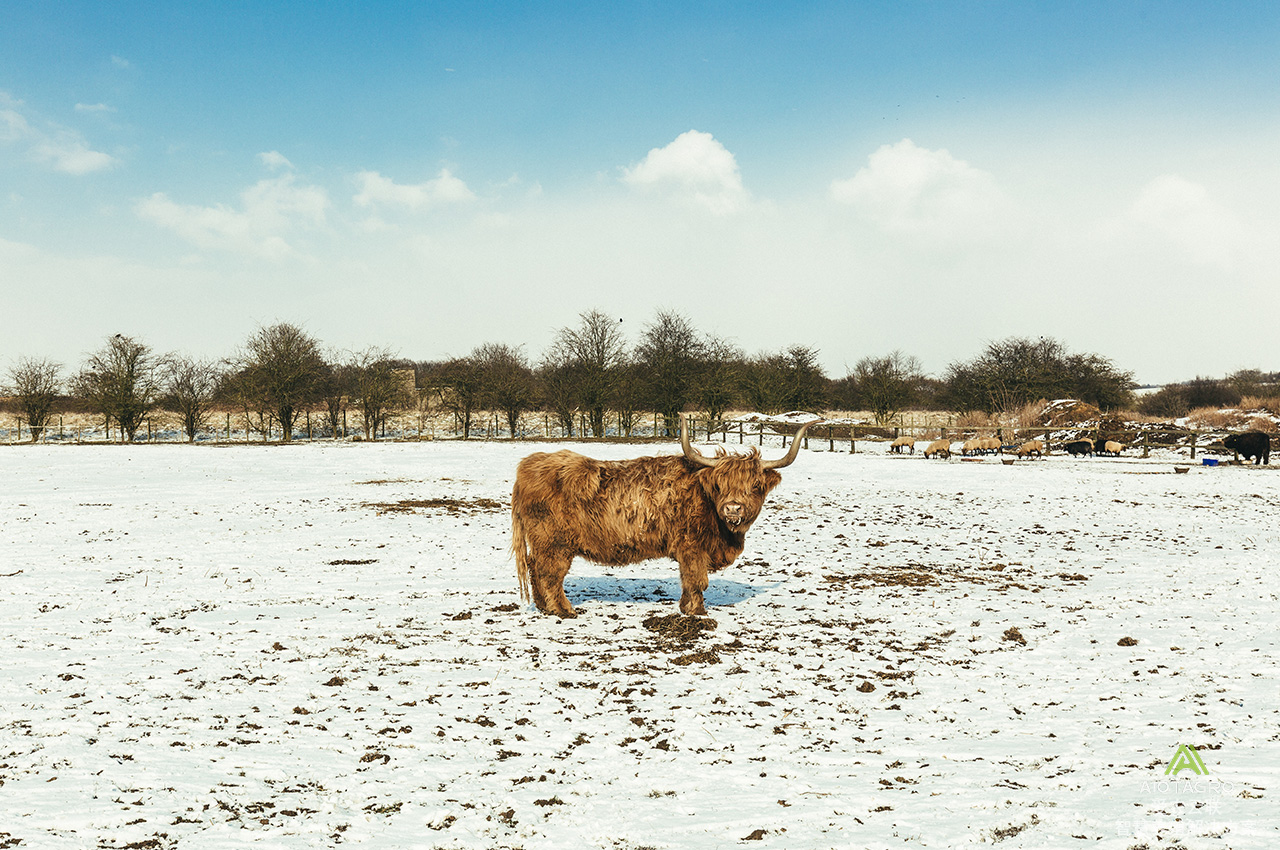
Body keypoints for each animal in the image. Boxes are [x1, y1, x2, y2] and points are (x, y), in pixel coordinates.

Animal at [506, 417, 814, 617]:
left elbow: (689, 580)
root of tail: (528, 465)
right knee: (549, 573)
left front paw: (686, 607)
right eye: (719, 485)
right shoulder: (692, 547)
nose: (733, 508)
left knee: (534, 568)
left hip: (544, 543)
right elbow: (697, 580)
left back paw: (544, 608)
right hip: (555, 543)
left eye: (755, 486)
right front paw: (697, 612)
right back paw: (564, 610)